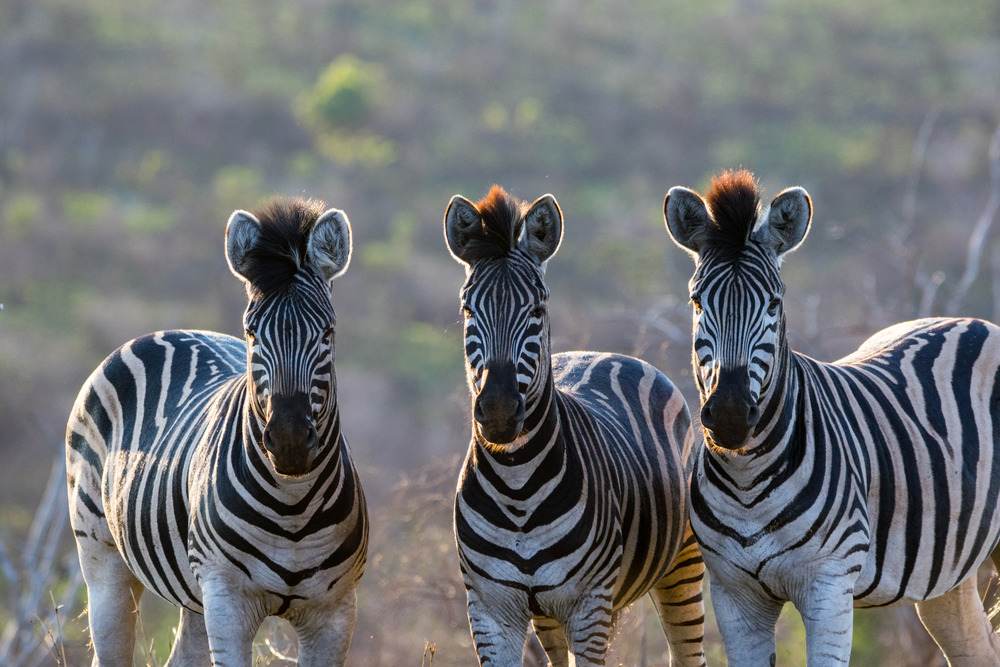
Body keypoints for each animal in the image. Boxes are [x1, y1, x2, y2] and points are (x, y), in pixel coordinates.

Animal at [68, 198, 370, 667]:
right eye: (252, 332)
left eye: (328, 332)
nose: (289, 442)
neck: (294, 508)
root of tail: (171, 330)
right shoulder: (227, 598)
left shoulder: (335, 610)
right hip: (101, 557)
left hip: (195, 595)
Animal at [446, 185, 712, 664]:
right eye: (467, 309)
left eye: (537, 308)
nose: (498, 410)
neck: (517, 489)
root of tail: (605, 354)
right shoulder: (490, 608)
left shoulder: (588, 606)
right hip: (550, 616)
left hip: (681, 566)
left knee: (688, 651)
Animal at [664, 168, 1000, 667]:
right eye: (697, 303)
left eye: (774, 304)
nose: (728, 416)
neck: (747, 481)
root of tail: (977, 323)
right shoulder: (733, 594)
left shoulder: (829, 586)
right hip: (949, 575)